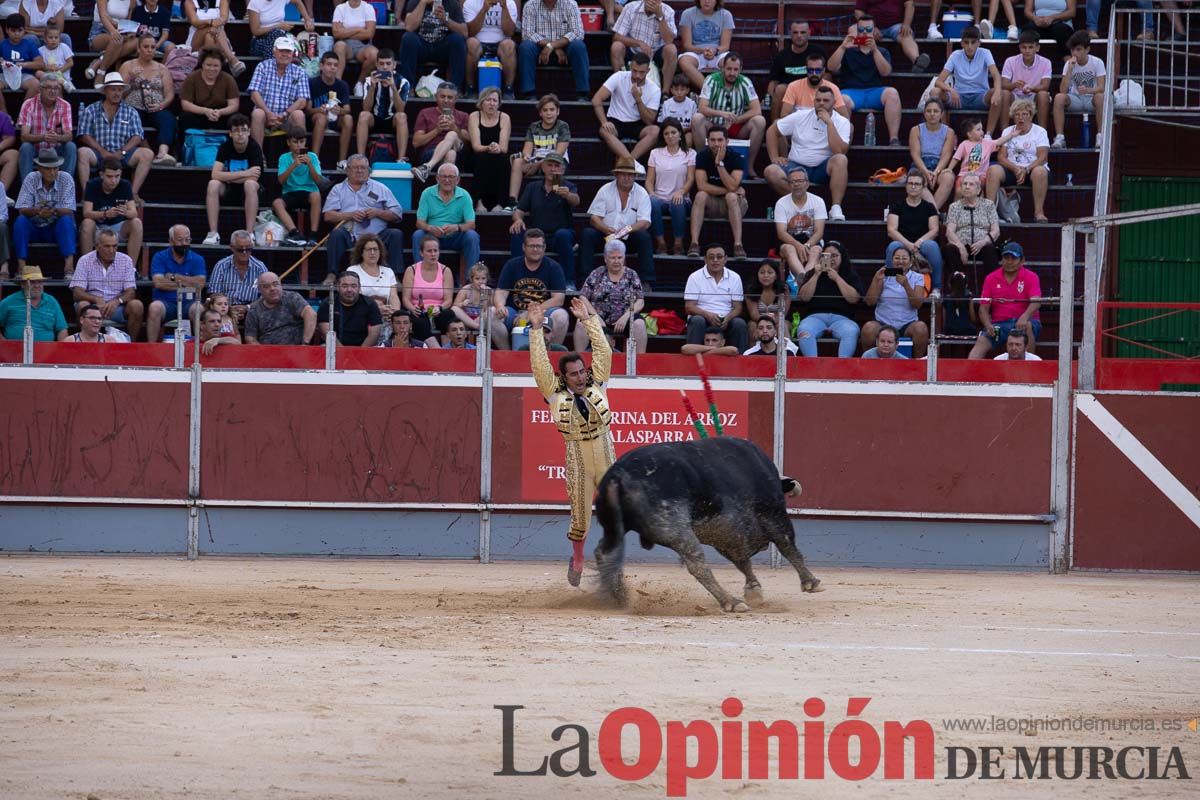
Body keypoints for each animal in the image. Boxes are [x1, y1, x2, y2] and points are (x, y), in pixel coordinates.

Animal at [592, 438, 820, 614]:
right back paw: (731, 602)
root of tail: (618, 476)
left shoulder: (726, 535)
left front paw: (754, 589)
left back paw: (617, 596)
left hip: (614, 528)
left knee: (604, 553)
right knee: (697, 565)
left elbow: (742, 561)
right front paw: (811, 582)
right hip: (676, 529)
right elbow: (787, 544)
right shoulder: (772, 512)